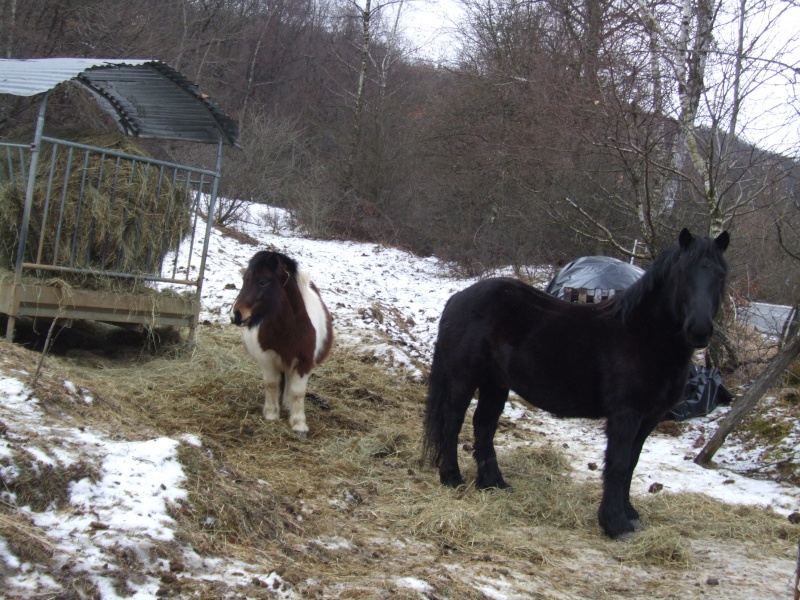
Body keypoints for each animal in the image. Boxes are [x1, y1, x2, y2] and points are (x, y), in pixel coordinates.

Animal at [230, 248, 332, 436]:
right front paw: (271, 413)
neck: (290, 327)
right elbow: (271, 384)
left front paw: (299, 423)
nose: (236, 315)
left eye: (262, 282)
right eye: (244, 280)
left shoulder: (303, 363)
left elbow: (298, 392)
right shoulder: (267, 358)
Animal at [424, 229, 732, 540]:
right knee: (452, 422)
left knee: (483, 425)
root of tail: (458, 298)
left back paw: (493, 483)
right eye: (682, 273)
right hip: (463, 379)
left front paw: (630, 515)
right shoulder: (626, 414)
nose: (699, 330)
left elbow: (632, 463)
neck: (643, 335)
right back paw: (452, 478)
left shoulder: (650, 417)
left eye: (720, 275)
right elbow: (618, 463)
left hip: (495, 383)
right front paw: (615, 523)